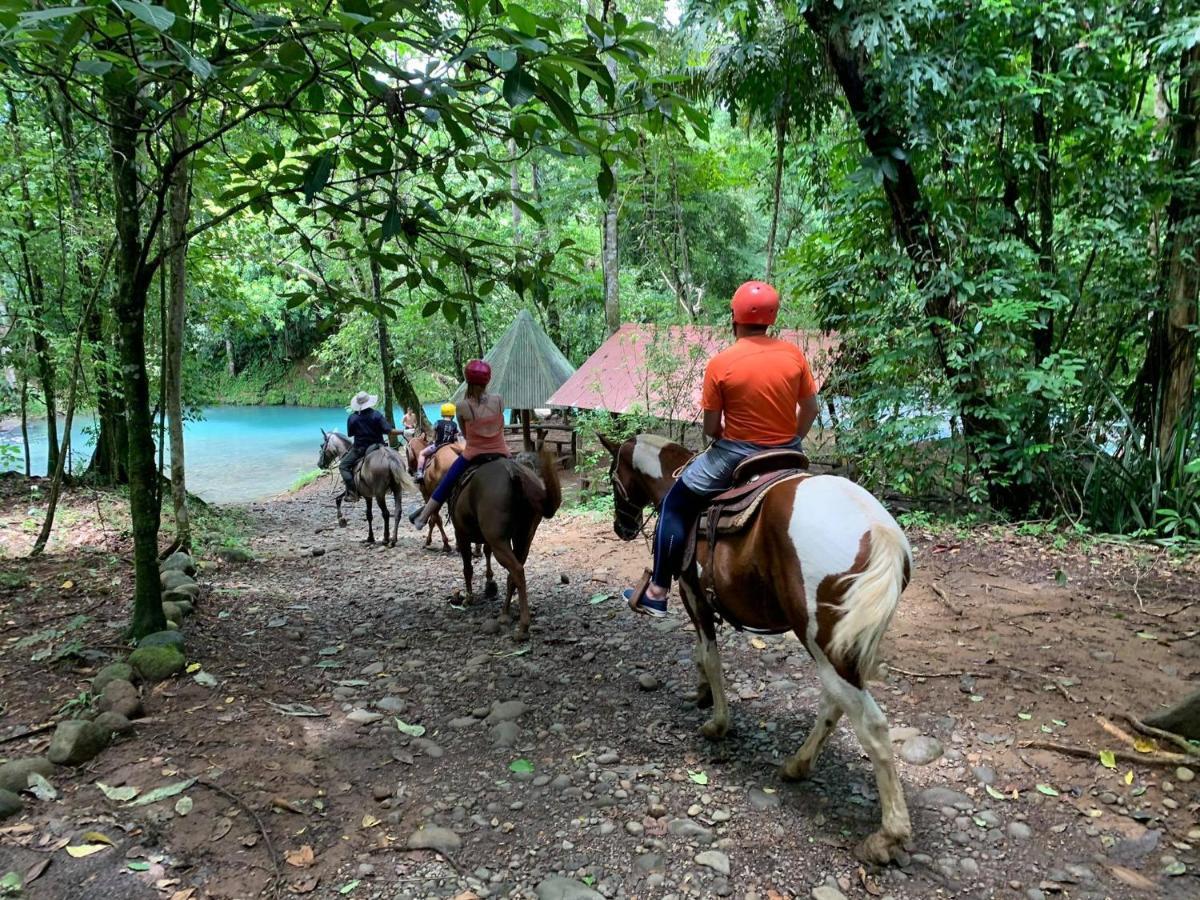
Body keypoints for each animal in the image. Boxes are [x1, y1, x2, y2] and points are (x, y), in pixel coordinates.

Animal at [451, 451, 561, 643]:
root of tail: (514, 473)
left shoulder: (461, 535)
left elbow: (467, 568)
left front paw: (469, 598)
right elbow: (485, 554)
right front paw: (489, 584)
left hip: (499, 541)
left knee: (516, 570)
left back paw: (523, 626)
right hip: (524, 538)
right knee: (515, 572)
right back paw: (505, 613)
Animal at [604, 434, 912, 868]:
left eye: (613, 476)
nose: (623, 527)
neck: (671, 481)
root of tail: (878, 529)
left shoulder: (692, 591)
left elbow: (710, 654)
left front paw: (717, 722)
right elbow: (699, 653)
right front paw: (701, 692)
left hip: (822, 642)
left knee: (871, 725)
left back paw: (887, 836)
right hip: (838, 643)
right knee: (834, 703)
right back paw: (798, 765)